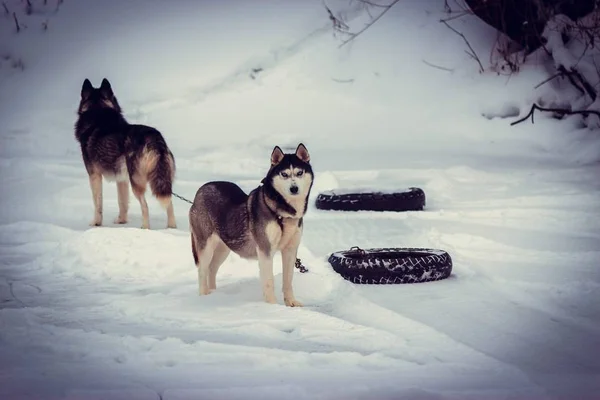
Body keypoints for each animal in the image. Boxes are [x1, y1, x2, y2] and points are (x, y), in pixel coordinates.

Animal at [74, 78, 176, 230]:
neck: (99, 113)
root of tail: (154, 138)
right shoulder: (122, 179)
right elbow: (122, 202)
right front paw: (122, 221)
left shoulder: (94, 175)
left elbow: (98, 204)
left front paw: (96, 224)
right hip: (162, 181)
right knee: (169, 203)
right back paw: (171, 228)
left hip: (137, 183)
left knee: (145, 206)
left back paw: (145, 229)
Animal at [189, 144, 314, 306]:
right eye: (284, 174)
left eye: (299, 173)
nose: (294, 188)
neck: (282, 212)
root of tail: (200, 191)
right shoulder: (265, 250)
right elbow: (269, 282)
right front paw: (272, 306)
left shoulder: (290, 250)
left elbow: (288, 280)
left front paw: (291, 303)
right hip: (206, 246)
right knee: (202, 271)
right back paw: (204, 297)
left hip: (223, 248)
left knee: (212, 269)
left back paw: (214, 295)